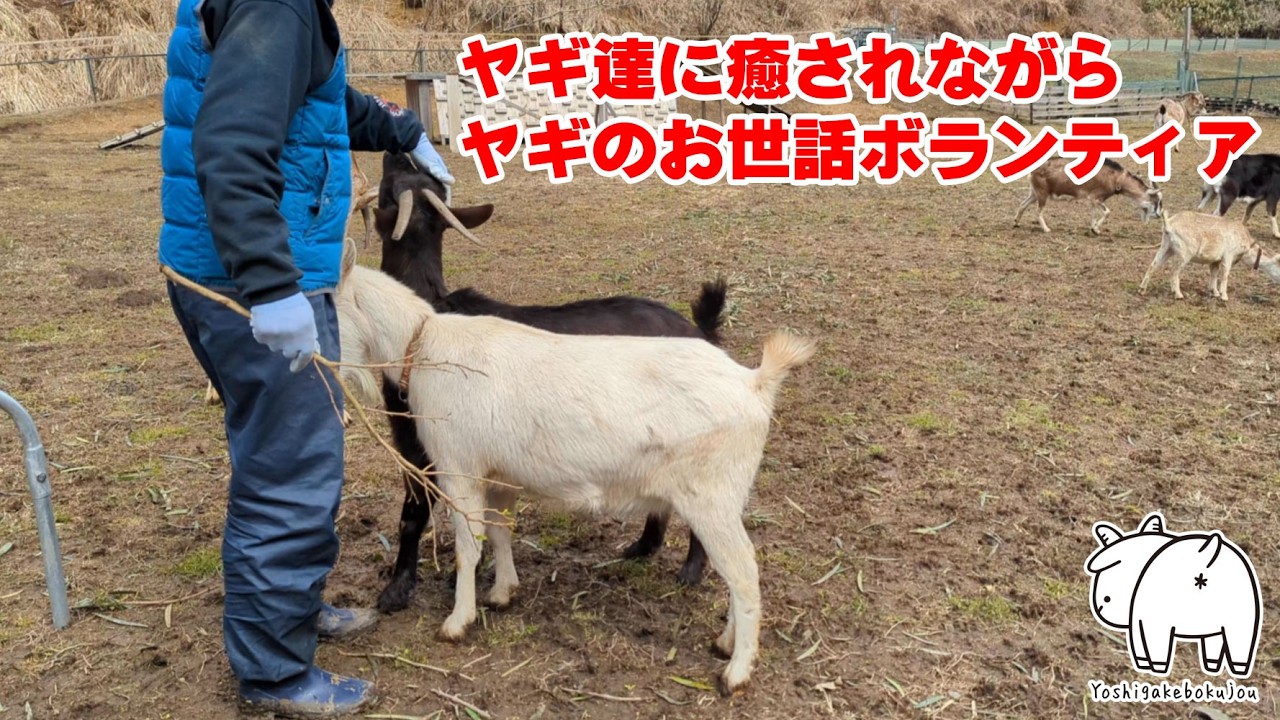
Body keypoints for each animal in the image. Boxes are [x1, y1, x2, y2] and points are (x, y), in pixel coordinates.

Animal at [333, 239, 814, 696]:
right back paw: (725, 643)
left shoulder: (458, 467)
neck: (424, 344)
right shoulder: (499, 473)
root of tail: (754, 382)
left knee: (743, 571)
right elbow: (500, 529)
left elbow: (469, 546)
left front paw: (457, 622)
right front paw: (502, 592)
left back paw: (736, 672)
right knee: (736, 569)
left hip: (710, 496)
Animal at [370, 152, 725, 613]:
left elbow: (413, 514)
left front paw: (397, 589)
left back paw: (692, 569)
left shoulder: (422, 442)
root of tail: (700, 334)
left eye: (388, 188)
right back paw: (643, 547)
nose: (397, 151)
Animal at [1014, 157, 1163, 235]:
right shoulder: (1096, 197)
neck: (1117, 178)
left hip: (1035, 192)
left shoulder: (1093, 199)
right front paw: (1096, 229)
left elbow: (1094, 213)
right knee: (1038, 211)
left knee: (1022, 204)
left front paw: (1092, 228)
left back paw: (1016, 222)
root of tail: (1033, 170)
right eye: (1156, 200)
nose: (1159, 215)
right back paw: (1046, 229)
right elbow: (1107, 212)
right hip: (1042, 193)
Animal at [1139, 210, 1280, 301]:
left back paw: (1142, 289)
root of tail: (1169, 224)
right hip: (1185, 252)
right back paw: (1178, 294)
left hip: (1167, 247)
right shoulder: (1228, 256)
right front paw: (1224, 296)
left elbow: (1214, 274)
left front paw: (1215, 292)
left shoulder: (1216, 260)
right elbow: (1225, 275)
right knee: (1174, 272)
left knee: (1153, 265)